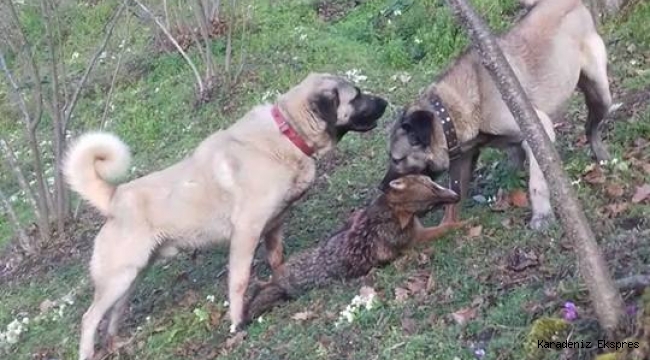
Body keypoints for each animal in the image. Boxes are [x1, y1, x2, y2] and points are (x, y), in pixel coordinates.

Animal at [64, 71, 384, 358]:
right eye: (356, 96)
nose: (385, 102)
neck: (287, 133)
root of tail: (115, 197)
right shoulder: (245, 233)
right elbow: (239, 282)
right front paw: (237, 323)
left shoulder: (274, 228)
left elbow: (277, 261)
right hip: (118, 278)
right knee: (89, 318)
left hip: (132, 277)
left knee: (114, 314)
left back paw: (115, 344)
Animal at [378, 0, 612, 231]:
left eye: (397, 159)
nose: (381, 187)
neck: (453, 111)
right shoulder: (466, 160)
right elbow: (455, 200)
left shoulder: (538, 132)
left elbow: (537, 183)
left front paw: (542, 216)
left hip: (600, 94)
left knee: (591, 127)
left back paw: (602, 155)